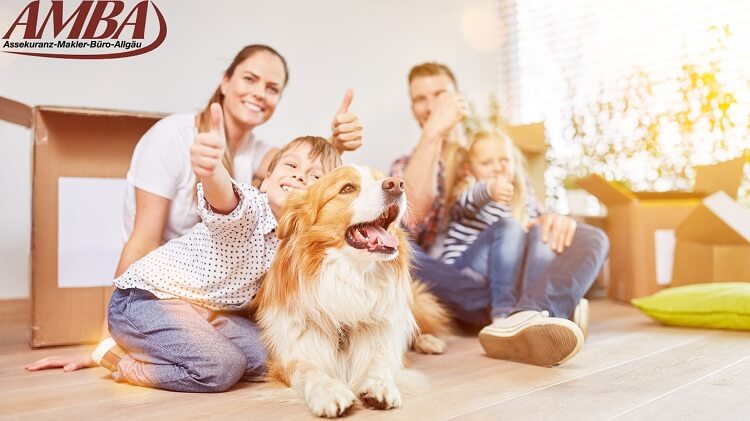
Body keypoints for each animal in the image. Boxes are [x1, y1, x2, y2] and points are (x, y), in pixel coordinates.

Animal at [253, 164, 452, 416]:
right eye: (347, 188)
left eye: (382, 179)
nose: (397, 184)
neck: (351, 279)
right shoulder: (289, 355)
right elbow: (308, 370)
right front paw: (329, 391)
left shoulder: (382, 337)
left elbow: (380, 361)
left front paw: (379, 384)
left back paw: (430, 342)